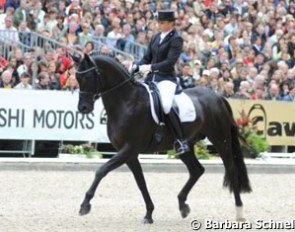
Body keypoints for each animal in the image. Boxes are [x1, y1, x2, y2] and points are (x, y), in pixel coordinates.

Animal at [74, 53, 252, 224]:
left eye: (88, 77)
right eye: (76, 78)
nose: (83, 108)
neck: (127, 102)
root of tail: (218, 97)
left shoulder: (129, 149)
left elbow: (101, 170)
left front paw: (85, 205)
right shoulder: (129, 154)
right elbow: (141, 182)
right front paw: (149, 214)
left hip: (221, 140)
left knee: (231, 170)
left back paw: (239, 212)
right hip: (184, 146)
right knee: (197, 170)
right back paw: (182, 205)